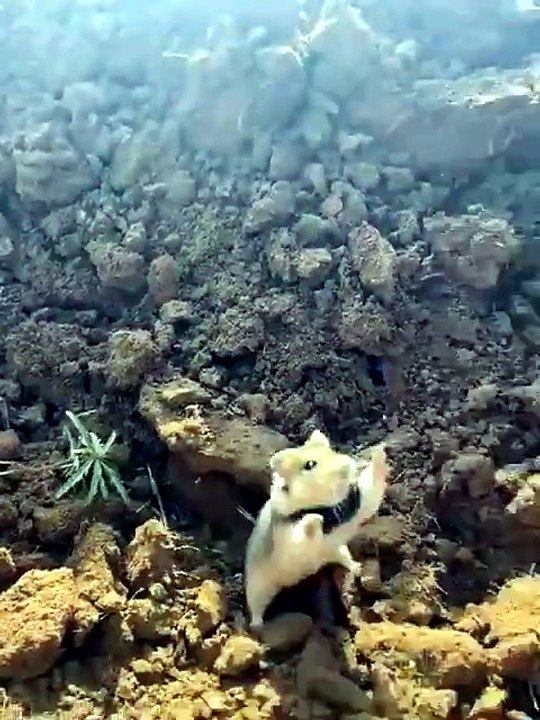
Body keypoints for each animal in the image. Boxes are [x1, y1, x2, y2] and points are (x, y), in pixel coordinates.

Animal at [244, 429, 387, 630]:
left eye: (333, 450)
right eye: (310, 465)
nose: (348, 465)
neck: (324, 507)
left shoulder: (359, 505)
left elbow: (372, 489)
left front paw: (379, 449)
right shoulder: (290, 540)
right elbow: (305, 529)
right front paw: (315, 519)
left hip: (336, 550)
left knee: (344, 559)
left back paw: (358, 568)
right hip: (257, 585)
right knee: (256, 606)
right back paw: (256, 626)